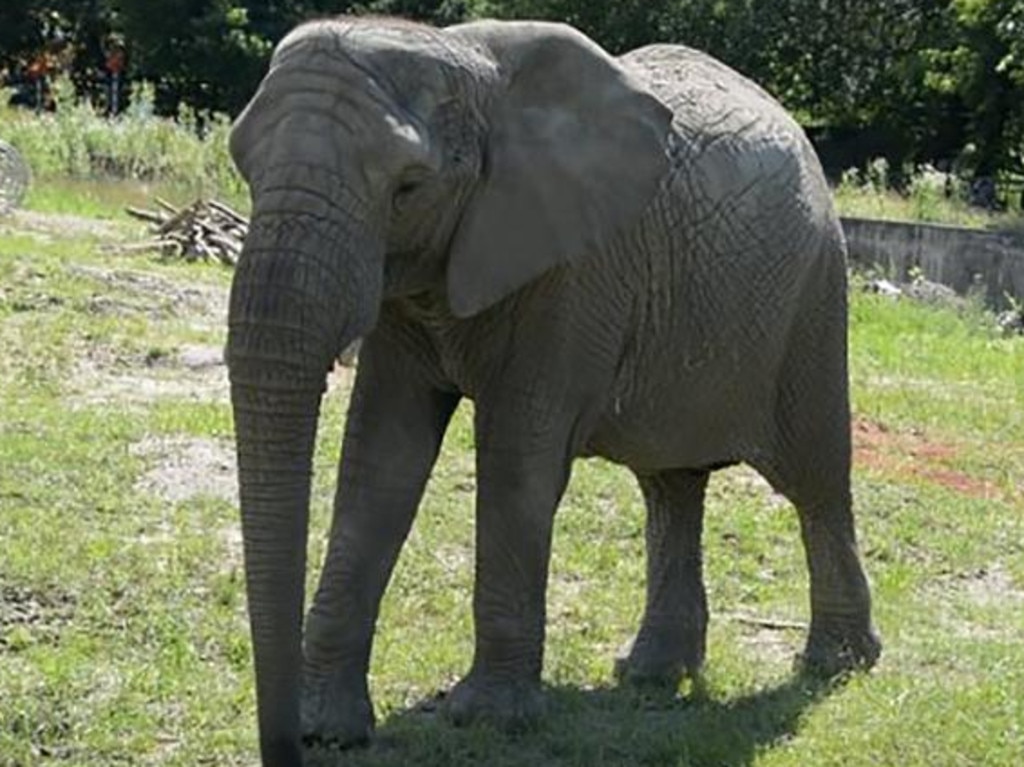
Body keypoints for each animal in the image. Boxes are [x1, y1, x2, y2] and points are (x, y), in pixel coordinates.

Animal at [224, 13, 880, 765]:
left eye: (408, 188)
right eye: (244, 167)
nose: (285, 747)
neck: (461, 59)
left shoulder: (575, 269)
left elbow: (517, 462)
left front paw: (486, 720)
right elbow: (379, 459)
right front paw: (329, 728)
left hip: (815, 295)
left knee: (815, 479)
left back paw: (836, 665)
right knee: (671, 483)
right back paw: (651, 676)